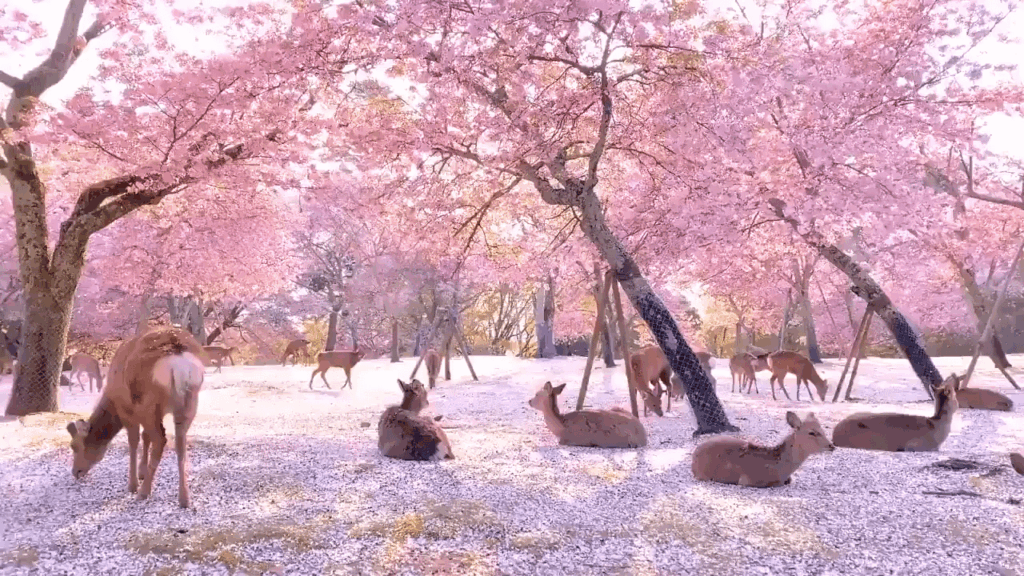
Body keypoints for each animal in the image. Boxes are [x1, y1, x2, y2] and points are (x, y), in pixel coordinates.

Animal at [65, 327, 207, 508]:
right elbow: (145, 437)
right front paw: (142, 472)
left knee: (161, 440)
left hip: (148, 402)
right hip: (189, 401)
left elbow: (133, 442)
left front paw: (132, 484)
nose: (76, 472)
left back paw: (143, 492)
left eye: (74, 445)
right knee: (180, 442)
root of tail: (179, 360)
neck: (112, 400)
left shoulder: (127, 411)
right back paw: (184, 499)